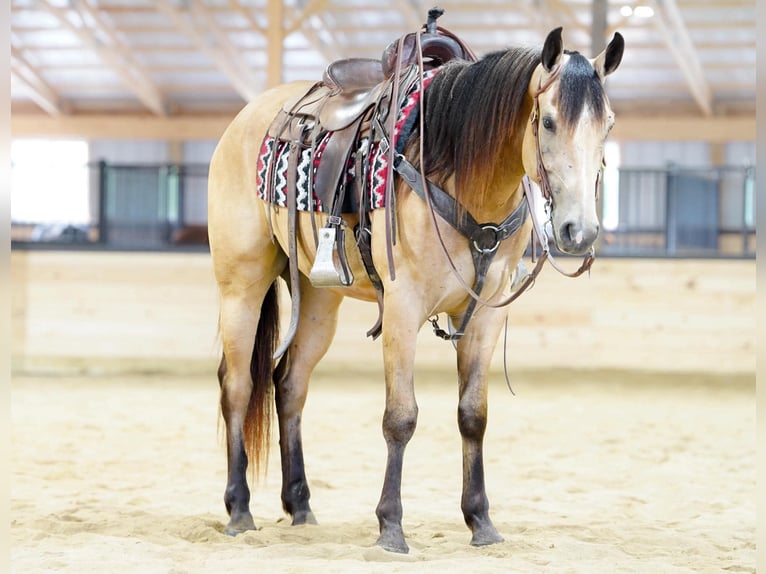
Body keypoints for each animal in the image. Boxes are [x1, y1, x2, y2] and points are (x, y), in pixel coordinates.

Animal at [207, 23, 624, 553]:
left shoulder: (487, 313)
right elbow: (400, 417)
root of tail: (243, 121)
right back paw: (239, 509)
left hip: (319, 298)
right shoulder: (402, 309)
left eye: (607, 124)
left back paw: (300, 505)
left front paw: (480, 520)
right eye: (548, 122)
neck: (464, 174)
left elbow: (473, 415)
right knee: (238, 387)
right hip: (241, 284)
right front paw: (390, 525)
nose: (579, 231)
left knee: (290, 385)